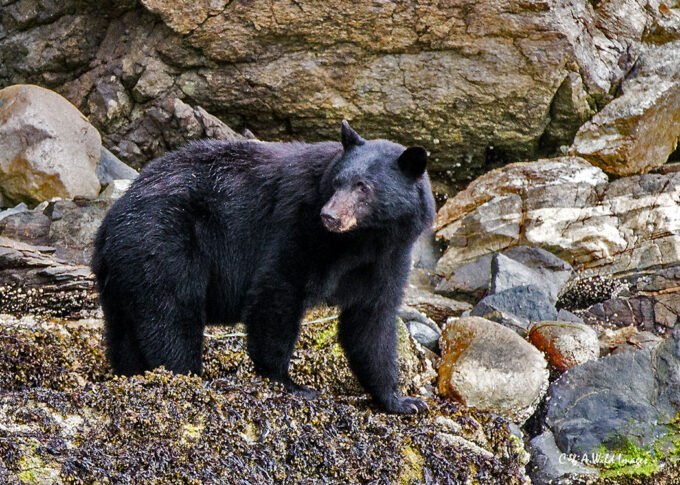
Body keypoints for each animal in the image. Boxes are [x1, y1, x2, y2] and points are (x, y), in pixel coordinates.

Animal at [91, 121, 435, 414]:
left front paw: (401, 400)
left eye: (363, 186)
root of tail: (108, 224)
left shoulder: (388, 257)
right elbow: (278, 290)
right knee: (172, 315)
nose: (329, 216)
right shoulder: (298, 226)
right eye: (338, 183)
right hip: (163, 243)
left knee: (125, 332)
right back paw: (184, 377)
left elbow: (372, 322)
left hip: (124, 273)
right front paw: (288, 381)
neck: (361, 240)